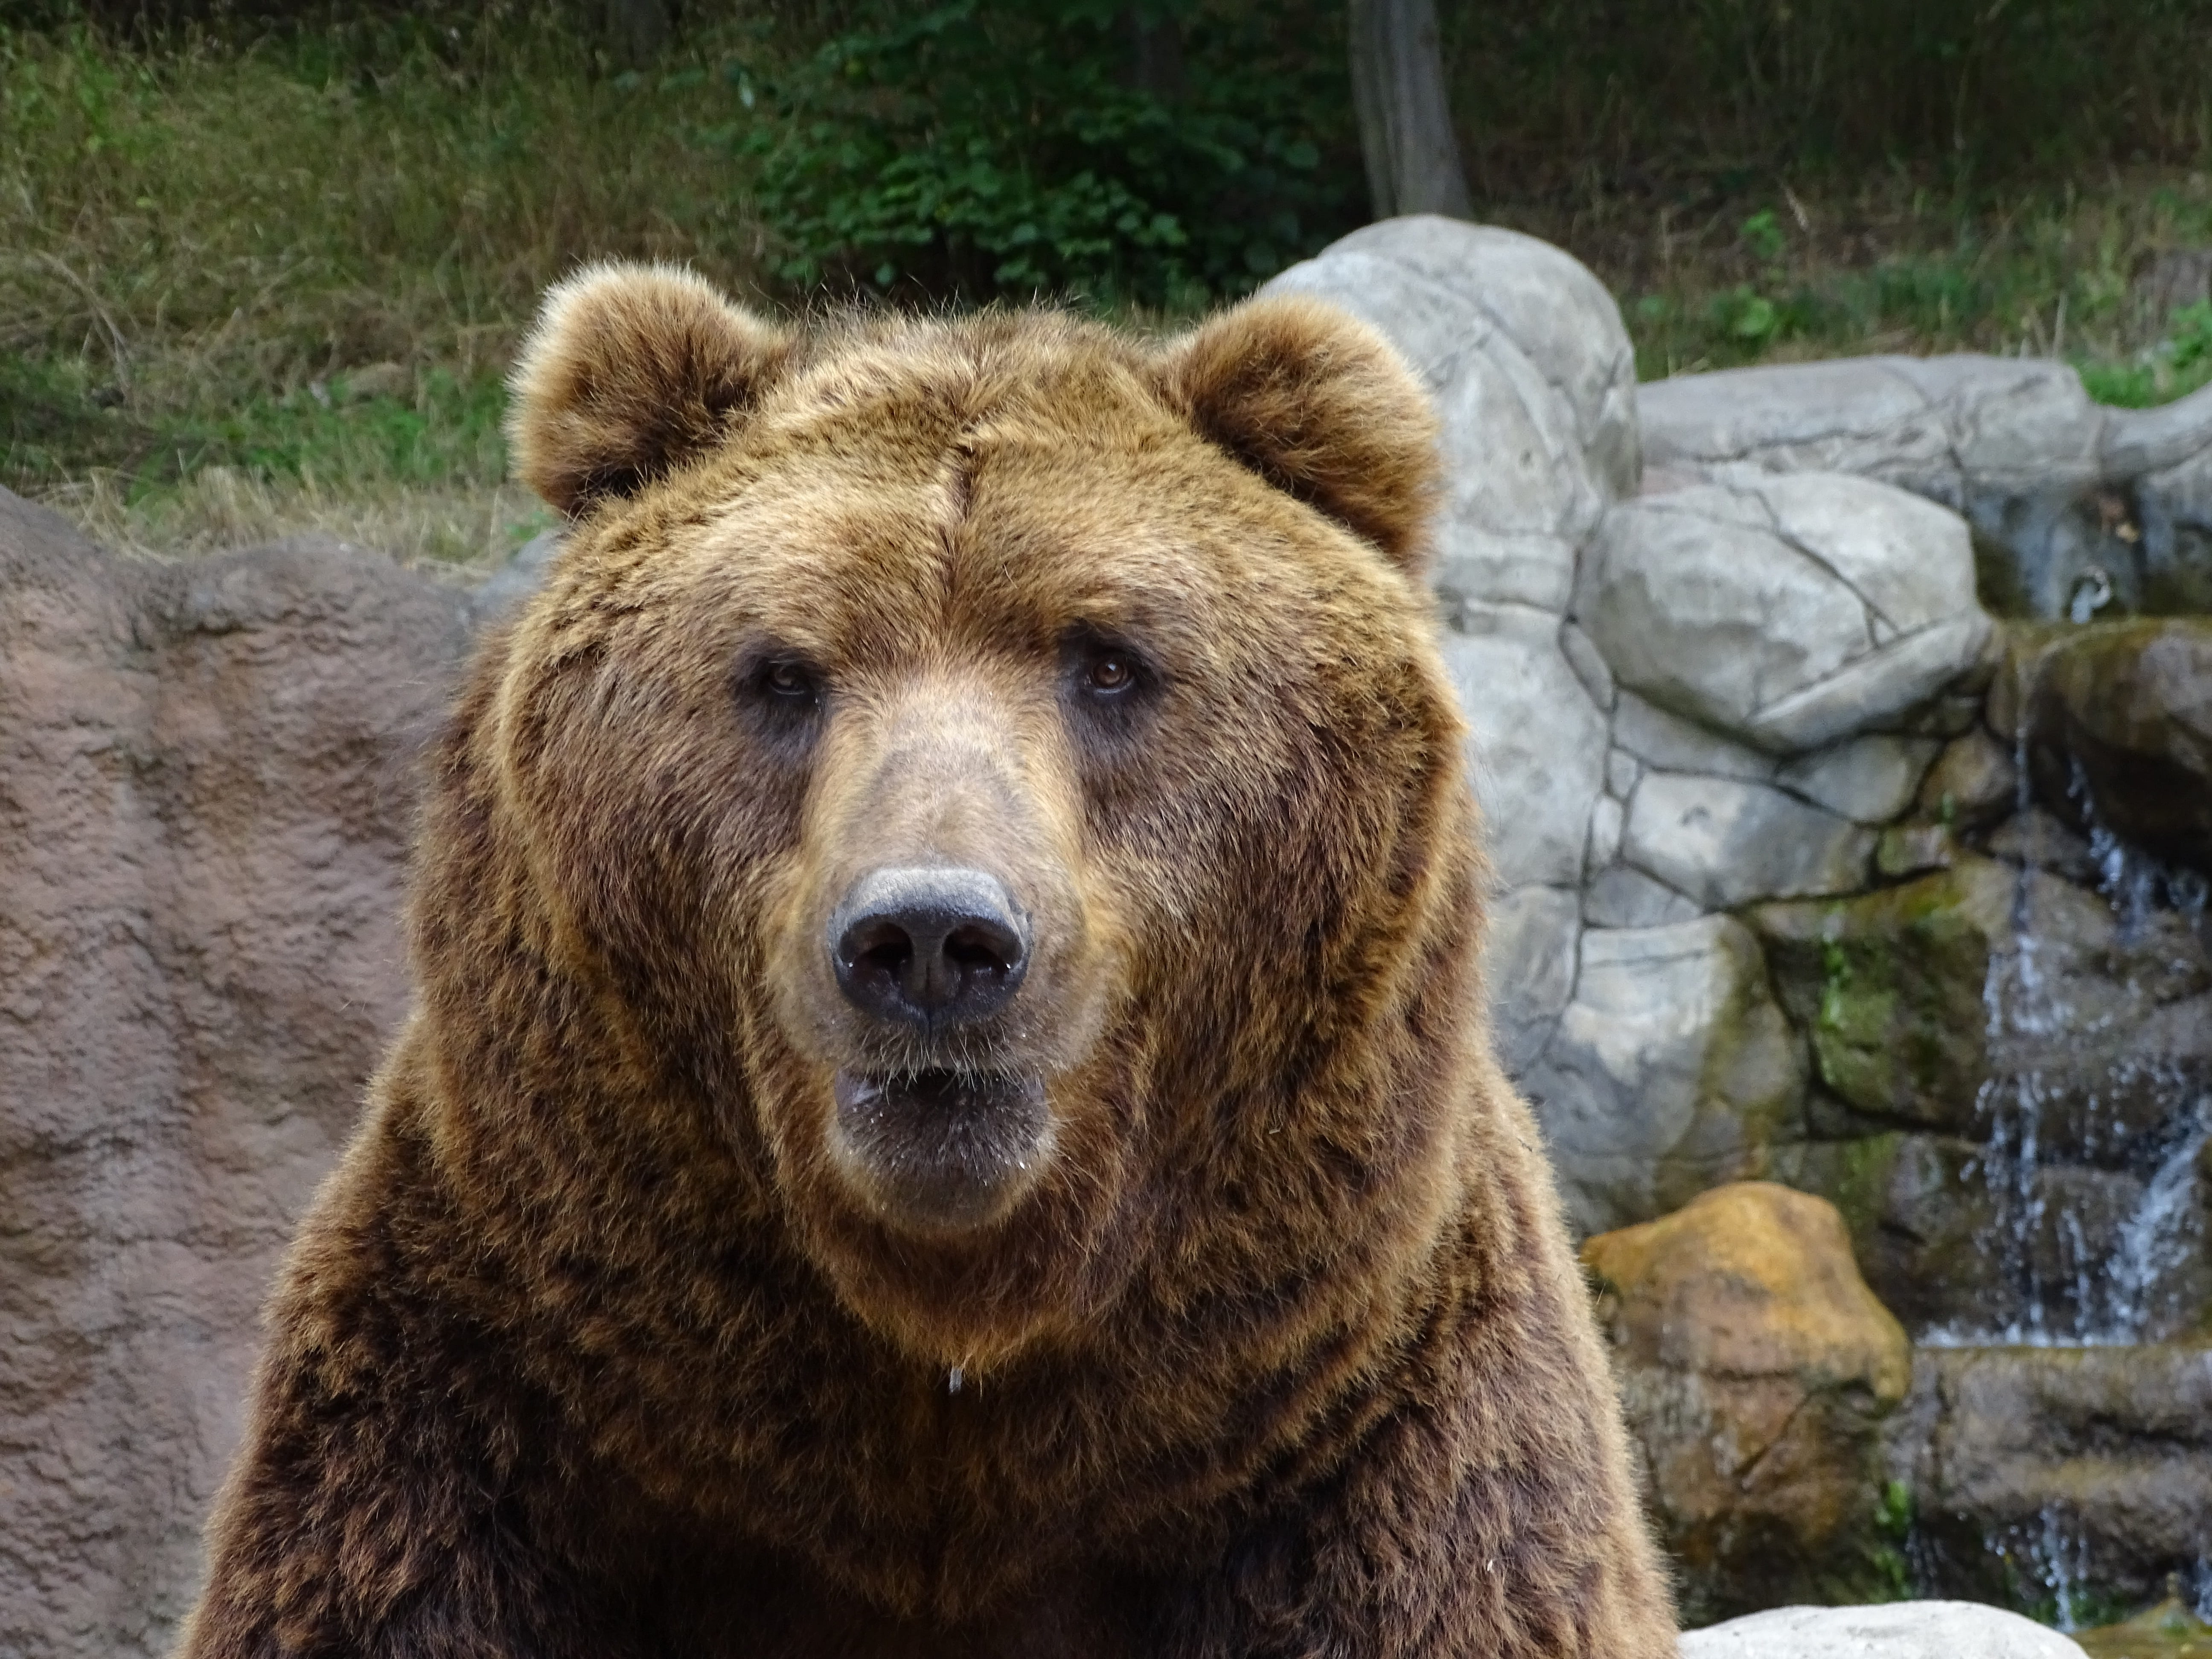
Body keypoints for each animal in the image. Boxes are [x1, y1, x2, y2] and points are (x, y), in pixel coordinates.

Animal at [178, 264, 1676, 1659]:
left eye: (1110, 661)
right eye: (783, 672)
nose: (932, 940)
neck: (944, 1393)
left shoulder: (1375, 1443)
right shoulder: (475, 1414)